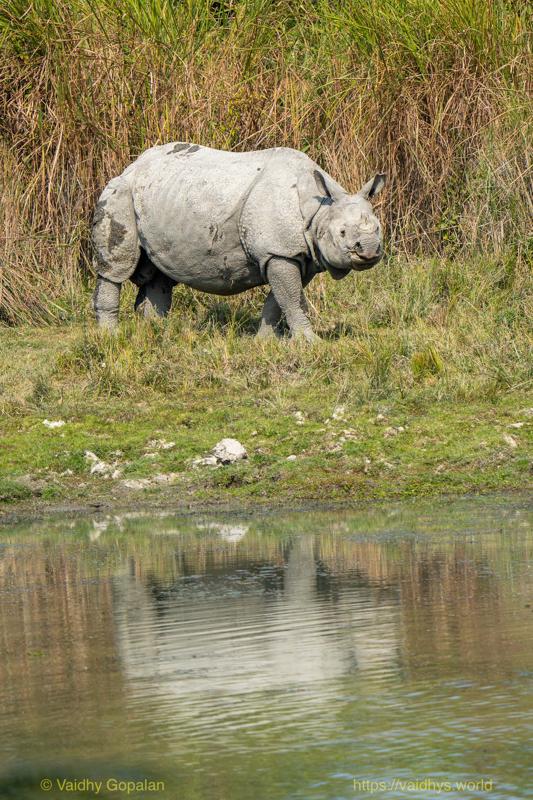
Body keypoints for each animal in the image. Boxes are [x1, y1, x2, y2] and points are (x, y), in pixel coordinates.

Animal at [92, 143, 386, 341]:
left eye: (378, 229)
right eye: (343, 233)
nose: (370, 251)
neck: (319, 208)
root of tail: (134, 164)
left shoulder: (296, 256)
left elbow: (279, 299)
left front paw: (265, 342)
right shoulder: (279, 251)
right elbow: (291, 298)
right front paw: (309, 342)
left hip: (163, 198)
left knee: (160, 274)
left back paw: (157, 331)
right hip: (120, 191)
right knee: (116, 269)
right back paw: (111, 337)